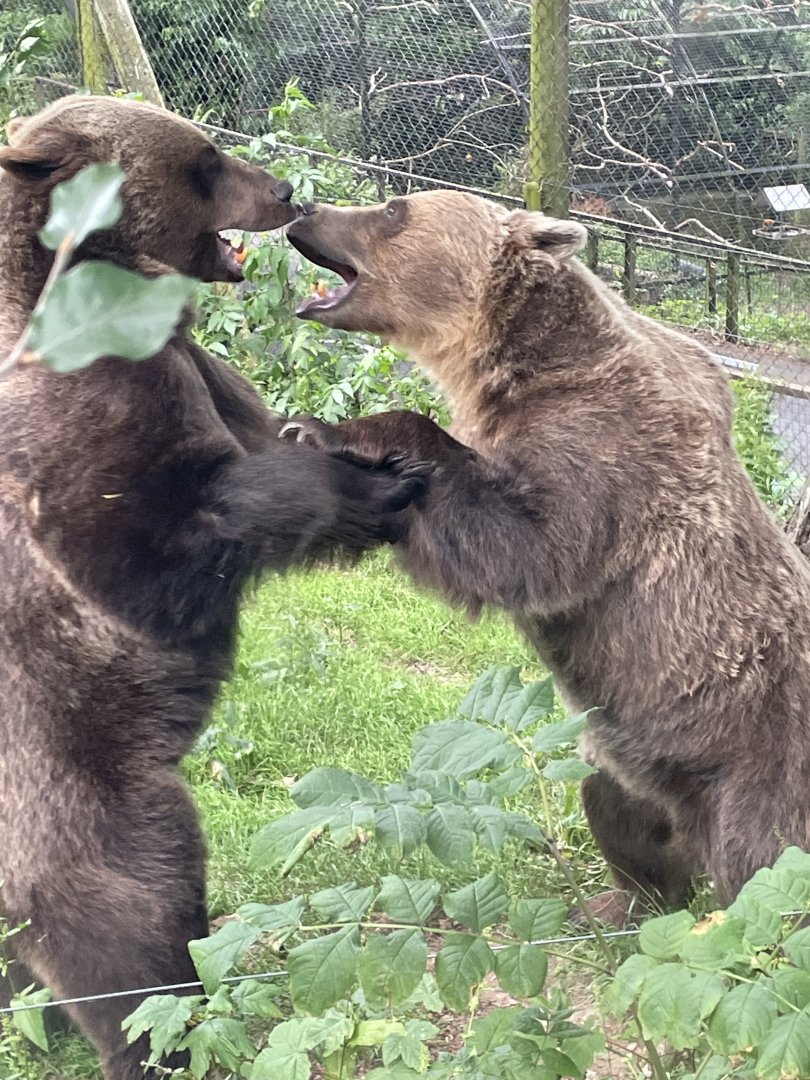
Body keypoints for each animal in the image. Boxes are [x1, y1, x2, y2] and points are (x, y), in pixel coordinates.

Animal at [0, 97, 429, 1080]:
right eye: (204, 159)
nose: (285, 189)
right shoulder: (78, 409)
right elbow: (160, 540)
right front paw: (382, 482)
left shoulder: (199, 367)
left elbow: (266, 427)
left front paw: (364, 442)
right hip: (75, 800)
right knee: (130, 934)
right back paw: (167, 1037)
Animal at [280, 189, 810, 924]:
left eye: (393, 209)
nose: (303, 207)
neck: (503, 365)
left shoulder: (606, 444)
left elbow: (529, 547)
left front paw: (327, 430)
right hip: (622, 758)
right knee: (619, 813)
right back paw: (625, 902)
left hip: (760, 765)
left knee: (765, 870)